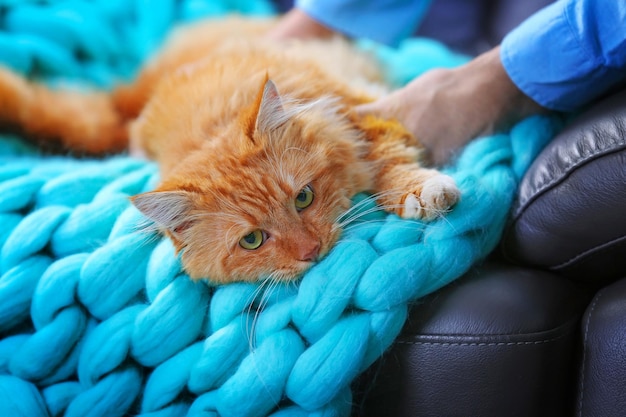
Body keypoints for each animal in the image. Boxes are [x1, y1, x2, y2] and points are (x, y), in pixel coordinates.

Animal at [0, 16, 458, 282]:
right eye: (252, 240)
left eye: (304, 198)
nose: (311, 252)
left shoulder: (354, 107)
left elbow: (386, 157)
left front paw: (418, 190)